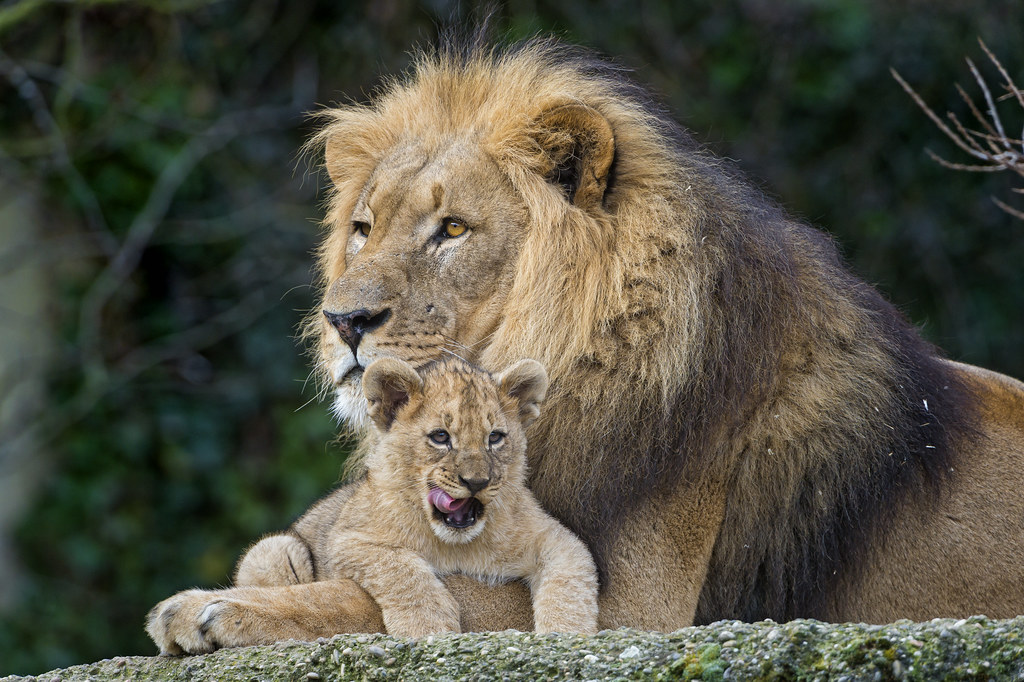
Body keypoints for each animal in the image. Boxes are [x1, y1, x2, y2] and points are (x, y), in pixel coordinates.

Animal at [146, 356, 597, 652]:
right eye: (440, 437)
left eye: (495, 438)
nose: (477, 482)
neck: (458, 544)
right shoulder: (350, 540)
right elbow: (402, 569)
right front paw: (428, 627)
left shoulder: (556, 539)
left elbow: (571, 582)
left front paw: (566, 636)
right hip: (275, 549)